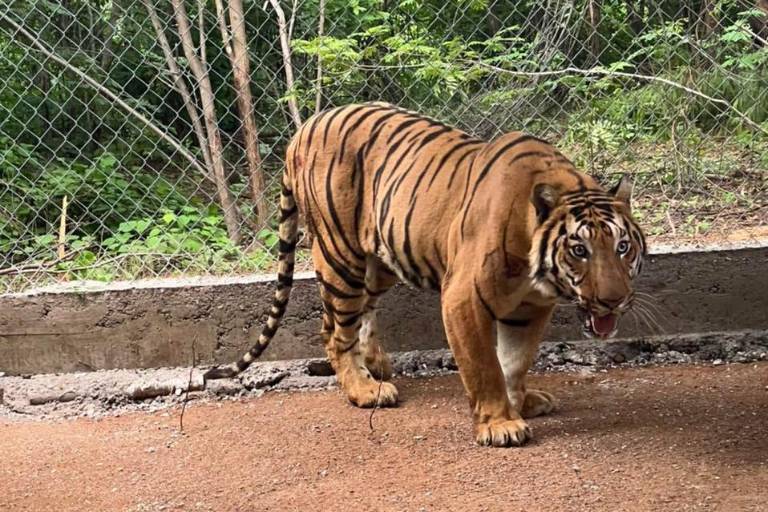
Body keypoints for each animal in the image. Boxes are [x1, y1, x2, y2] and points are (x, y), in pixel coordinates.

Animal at [205, 102, 647, 447]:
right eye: (579, 250)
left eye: (623, 247)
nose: (613, 300)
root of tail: (303, 129)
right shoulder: (464, 299)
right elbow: (485, 366)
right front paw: (500, 425)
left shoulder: (530, 308)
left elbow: (516, 362)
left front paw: (521, 403)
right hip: (340, 254)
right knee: (334, 330)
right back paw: (365, 388)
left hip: (379, 262)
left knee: (359, 312)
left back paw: (376, 363)